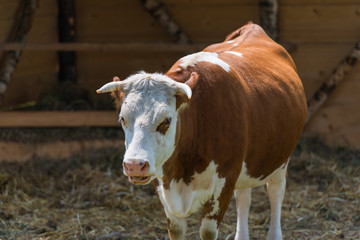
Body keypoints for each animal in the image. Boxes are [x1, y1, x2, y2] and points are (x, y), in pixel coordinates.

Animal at [95, 23, 306, 240]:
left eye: (166, 120)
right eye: (122, 119)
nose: (134, 165)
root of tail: (252, 28)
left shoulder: (224, 181)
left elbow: (207, 230)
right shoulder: (163, 185)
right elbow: (176, 230)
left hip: (280, 160)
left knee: (275, 193)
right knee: (243, 197)